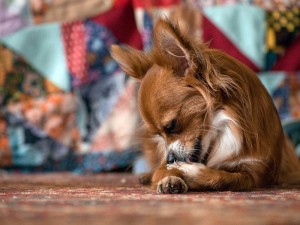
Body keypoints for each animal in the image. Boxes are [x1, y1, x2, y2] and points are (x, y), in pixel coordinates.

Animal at [110, 18, 300, 193]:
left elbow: (223, 178)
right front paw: (170, 179)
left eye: (172, 126)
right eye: (158, 135)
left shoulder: (254, 173)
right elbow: (163, 172)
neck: (224, 126)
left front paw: (191, 172)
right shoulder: (163, 165)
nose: (170, 158)